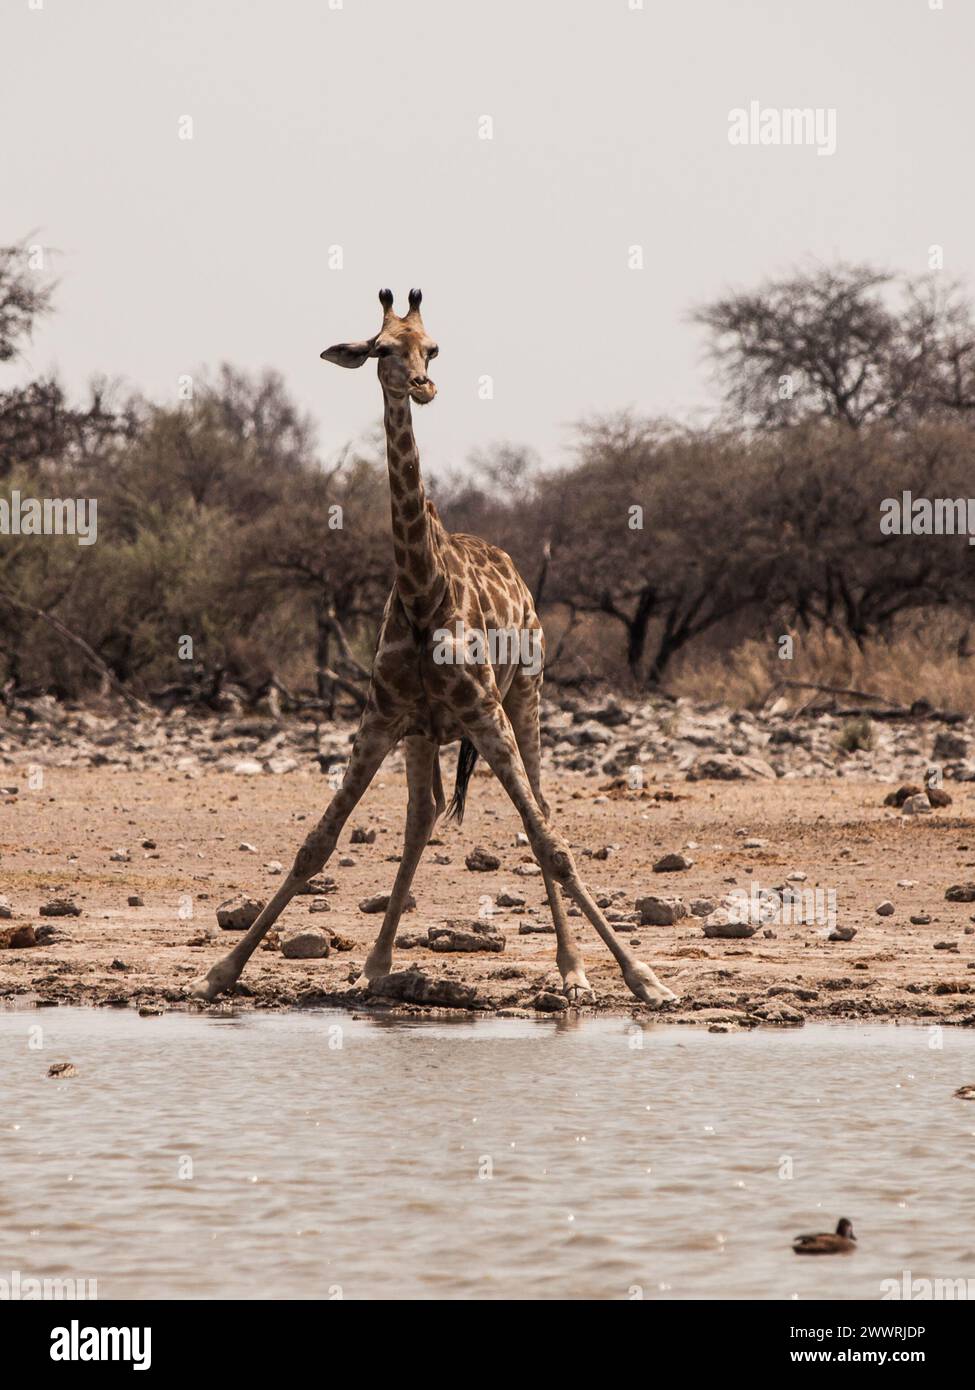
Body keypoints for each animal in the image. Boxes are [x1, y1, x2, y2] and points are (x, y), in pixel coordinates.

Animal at [190, 290, 675, 1011]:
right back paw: (376, 963)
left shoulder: (484, 714)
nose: (422, 385)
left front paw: (642, 977)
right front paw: (220, 971)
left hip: (526, 696)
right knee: (420, 818)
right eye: (381, 349)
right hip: (425, 732)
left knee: (542, 810)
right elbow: (316, 844)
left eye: (434, 348)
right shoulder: (383, 716)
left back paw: (569, 968)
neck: (423, 595)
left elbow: (550, 844)